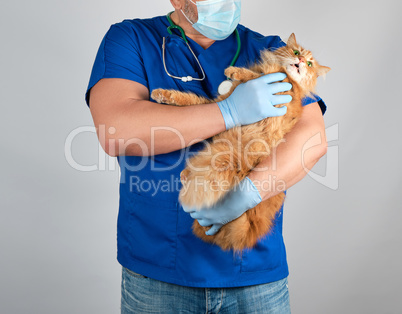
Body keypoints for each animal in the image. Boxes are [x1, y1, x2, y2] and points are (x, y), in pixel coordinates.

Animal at [151, 33, 330, 251]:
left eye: (310, 64)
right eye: (296, 52)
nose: (302, 60)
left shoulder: (280, 93)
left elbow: (252, 77)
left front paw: (233, 71)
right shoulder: (217, 104)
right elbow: (190, 99)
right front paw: (162, 94)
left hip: (225, 155)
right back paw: (185, 175)